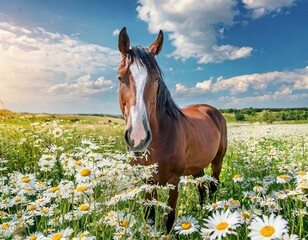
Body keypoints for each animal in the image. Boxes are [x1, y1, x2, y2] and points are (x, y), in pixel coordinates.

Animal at [116, 27, 227, 233]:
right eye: (120, 77)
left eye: (156, 79)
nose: (138, 138)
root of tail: (211, 109)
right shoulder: (147, 182)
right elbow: (150, 217)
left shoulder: (174, 181)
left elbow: (168, 218)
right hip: (196, 167)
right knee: (202, 188)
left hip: (217, 160)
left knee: (212, 187)